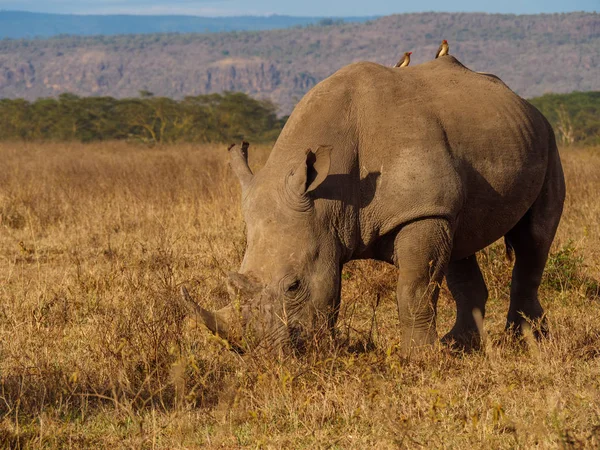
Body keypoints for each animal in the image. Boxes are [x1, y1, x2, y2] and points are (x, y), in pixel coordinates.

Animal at [180, 55, 564, 352]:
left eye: (294, 286)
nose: (260, 353)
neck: (328, 202)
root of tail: (522, 101)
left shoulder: (420, 211)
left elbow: (415, 288)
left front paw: (418, 359)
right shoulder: (422, 208)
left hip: (547, 137)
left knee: (533, 241)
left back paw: (526, 342)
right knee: (460, 243)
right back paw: (459, 345)